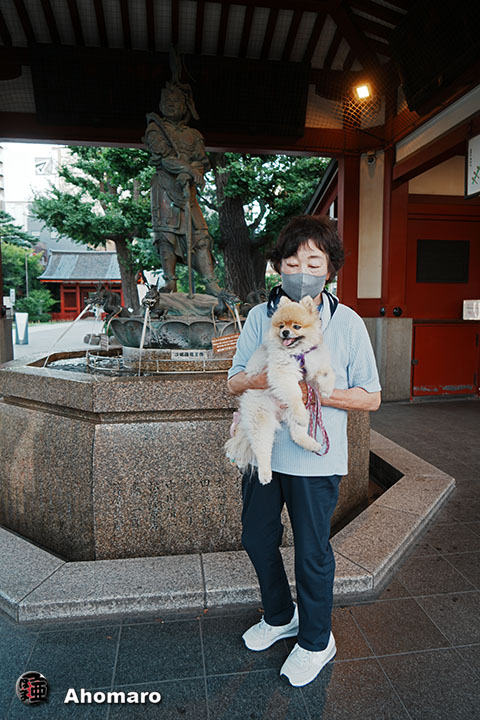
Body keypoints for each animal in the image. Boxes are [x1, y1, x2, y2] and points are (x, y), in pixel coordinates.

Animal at [225, 295, 335, 485]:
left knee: (297, 433)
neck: (297, 352)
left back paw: (312, 443)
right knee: (262, 448)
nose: (285, 333)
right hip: (261, 419)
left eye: (296, 326)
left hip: (299, 410)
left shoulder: (315, 362)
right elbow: (295, 394)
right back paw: (265, 474)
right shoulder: (282, 373)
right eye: (282, 325)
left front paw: (327, 389)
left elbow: (327, 373)